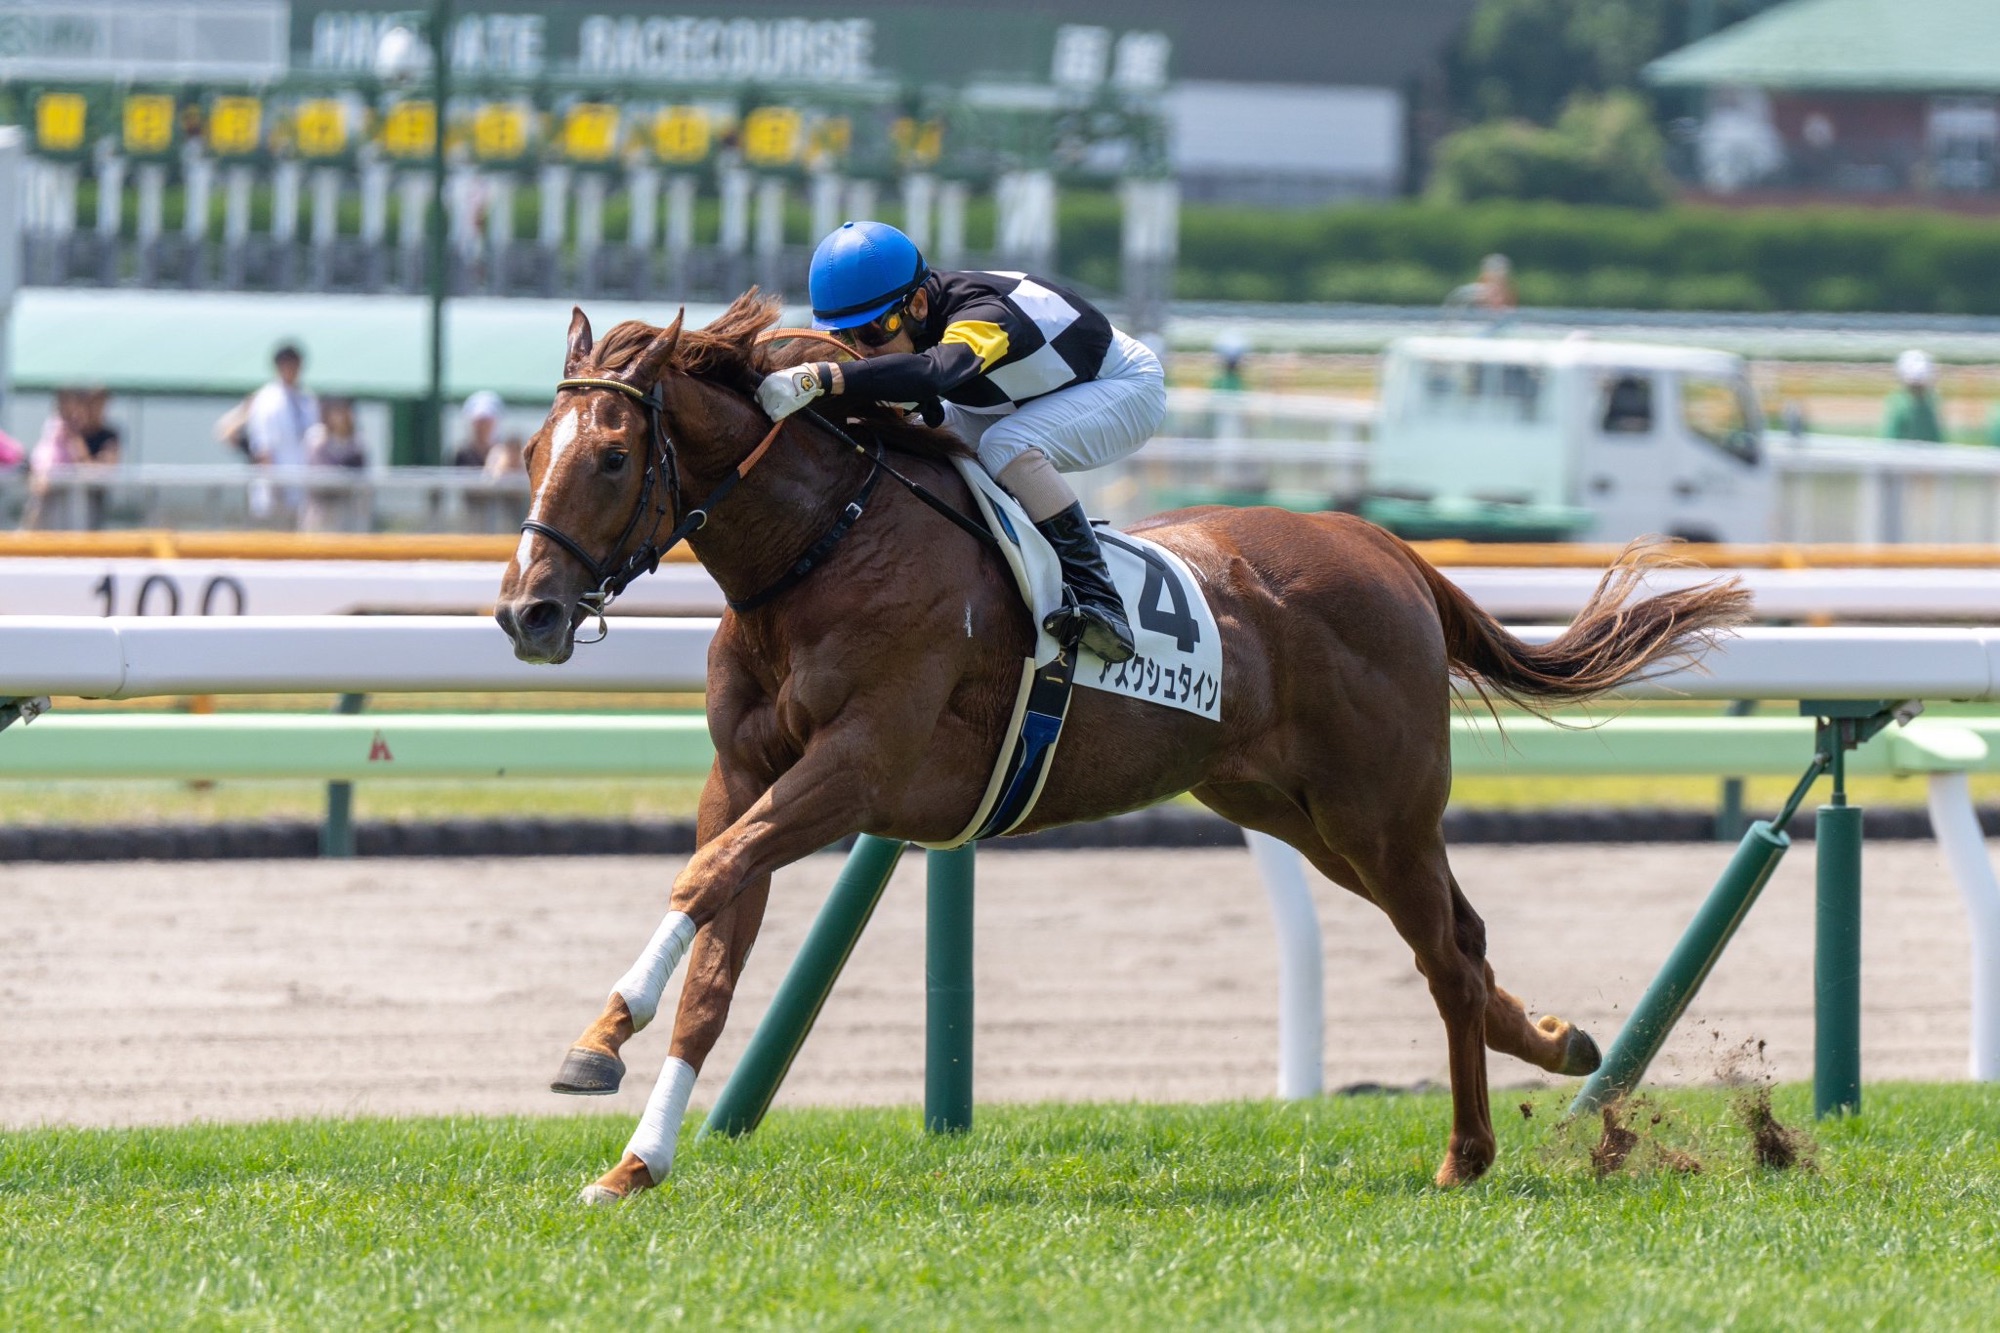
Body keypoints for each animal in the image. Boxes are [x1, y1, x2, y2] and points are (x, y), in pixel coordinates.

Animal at [492, 294, 1744, 1200]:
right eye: (531, 449)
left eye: (610, 458)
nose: (526, 613)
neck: (821, 552)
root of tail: (1379, 543)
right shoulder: (746, 777)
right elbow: (713, 948)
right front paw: (634, 1157)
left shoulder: (855, 769)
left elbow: (701, 879)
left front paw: (597, 1037)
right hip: (1292, 810)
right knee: (1465, 944)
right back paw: (1561, 1046)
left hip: (1378, 810)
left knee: (1443, 955)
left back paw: (1466, 1153)